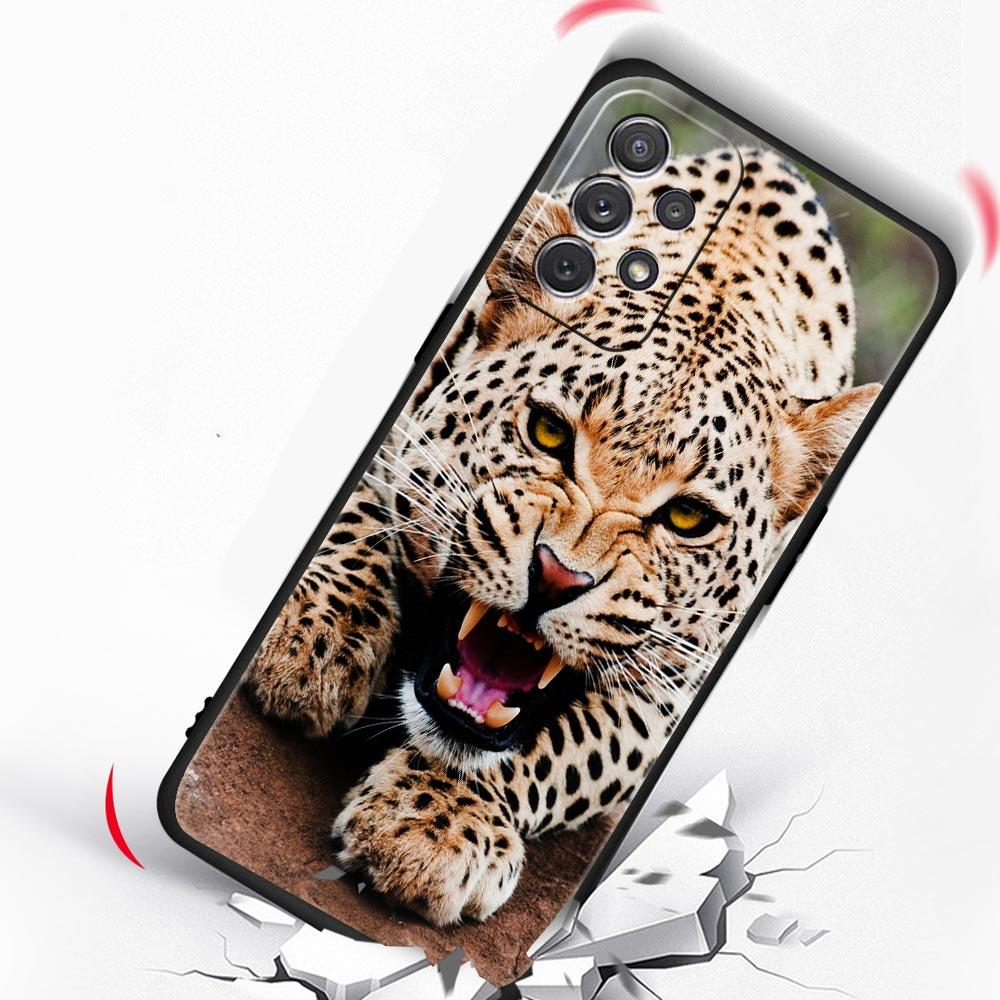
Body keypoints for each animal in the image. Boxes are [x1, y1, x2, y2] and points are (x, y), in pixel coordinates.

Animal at [245, 146, 880, 928]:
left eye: (688, 519)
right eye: (549, 433)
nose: (556, 577)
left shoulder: (665, 700)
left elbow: (555, 748)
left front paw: (433, 823)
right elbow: (361, 507)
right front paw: (315, 635)